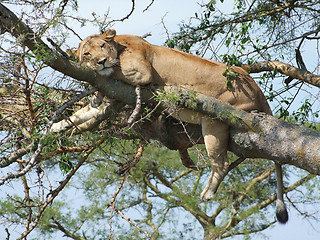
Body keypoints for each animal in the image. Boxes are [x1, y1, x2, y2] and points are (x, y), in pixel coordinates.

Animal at [68, 29, 290, 223]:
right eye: (86, 54)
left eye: (102, 46)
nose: (101, 61)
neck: (119, 44)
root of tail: (259, 92)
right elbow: (77, 116)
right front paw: (67, 121)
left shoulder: (141, 73)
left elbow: (113, 72)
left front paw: (100, 79)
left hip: (216, 118)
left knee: (222, 162)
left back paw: (207, 193)